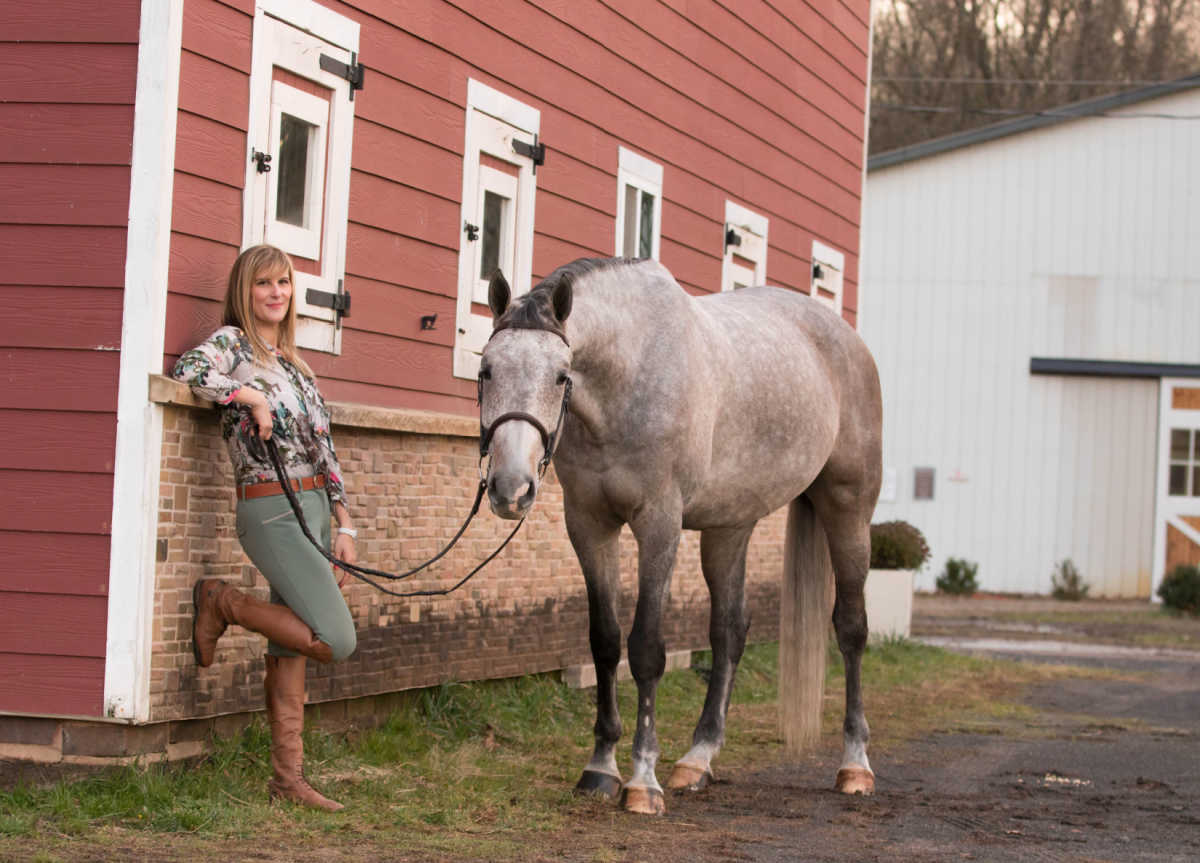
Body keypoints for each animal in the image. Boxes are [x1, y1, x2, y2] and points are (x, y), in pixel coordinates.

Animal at [477, 258, 883, 816]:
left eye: (561, 376)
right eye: (486, 370)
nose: (511, 489)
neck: (628, 377)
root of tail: (849, 341)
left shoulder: (659, 524)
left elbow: (646, 647)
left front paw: (642, 780)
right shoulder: (589, 524)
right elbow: (604, 642)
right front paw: (600, 768)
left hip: (849, 509)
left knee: (851, 629)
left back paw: (855, 764)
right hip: (730, 527)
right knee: (729, 631)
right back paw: (698, 758)